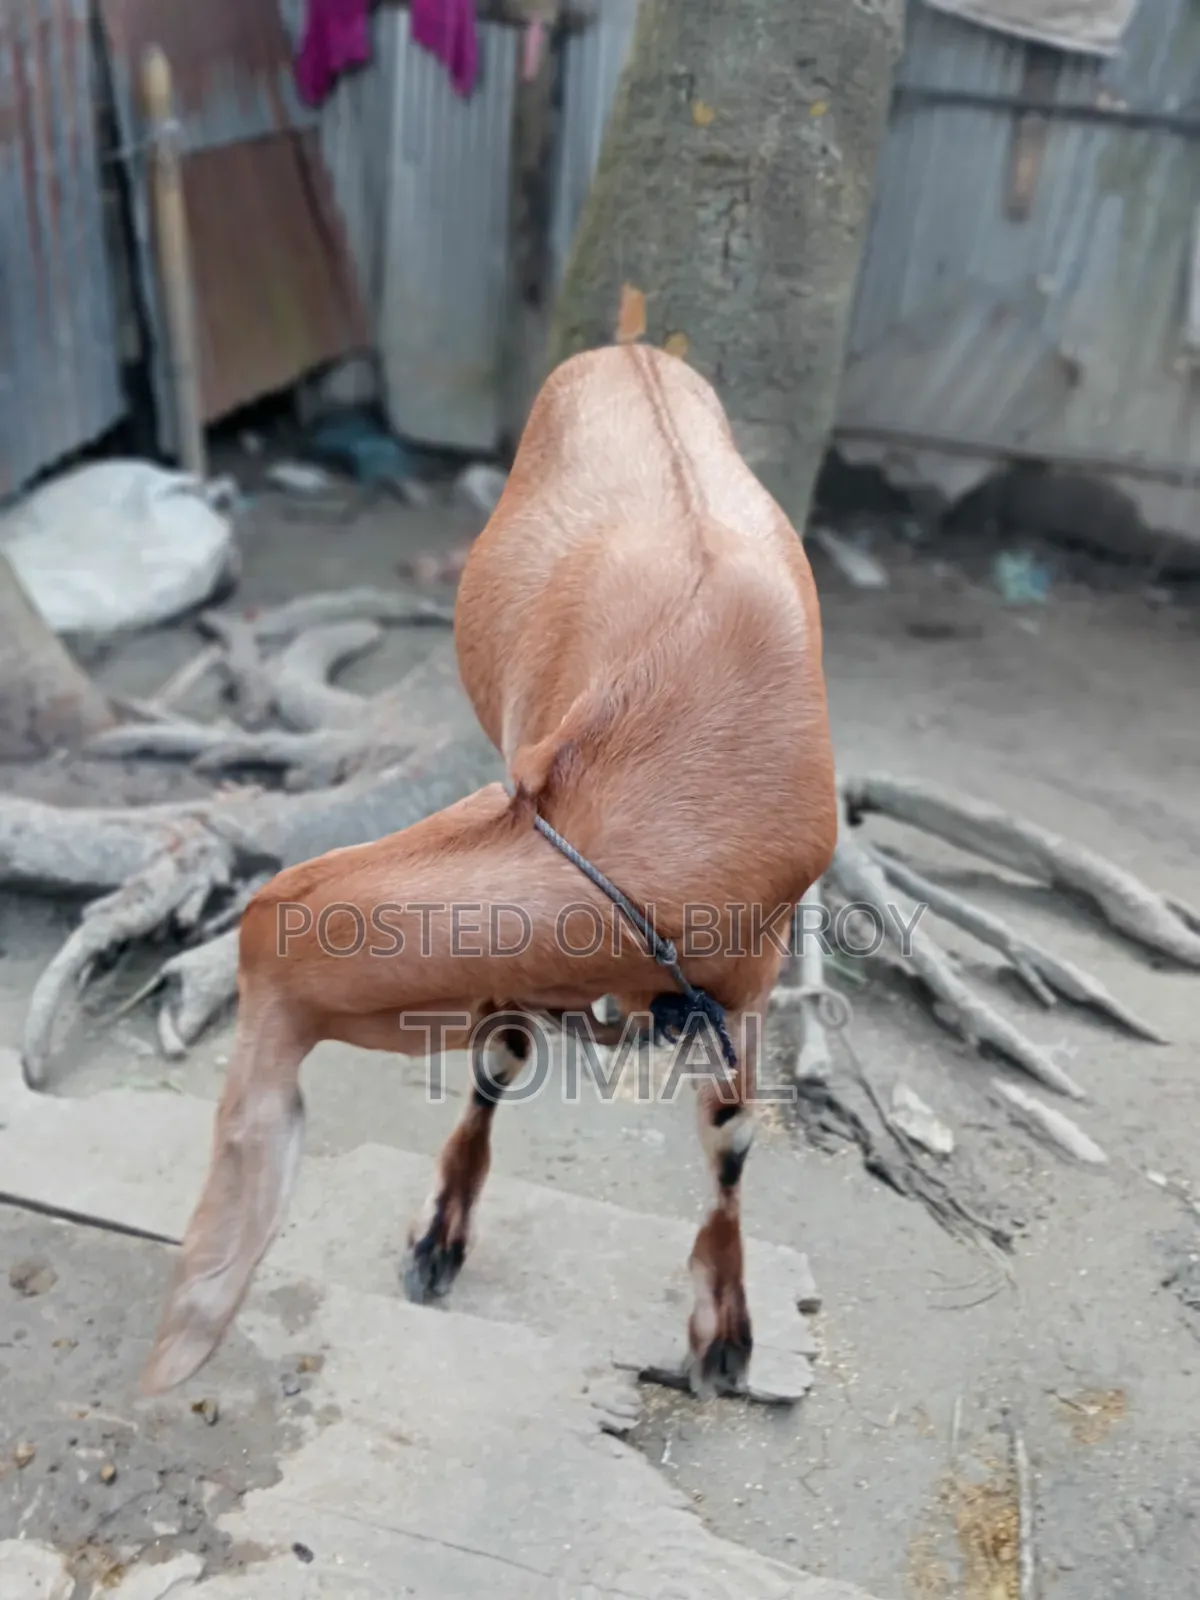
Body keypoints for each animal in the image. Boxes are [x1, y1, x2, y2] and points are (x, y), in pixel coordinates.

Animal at [142, 343, 838, 1398]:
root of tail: (632, 345)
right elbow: (498, 1054)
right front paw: (439, 1238)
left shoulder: (751, 969)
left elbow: (731, 1136)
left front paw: (725, 1334)